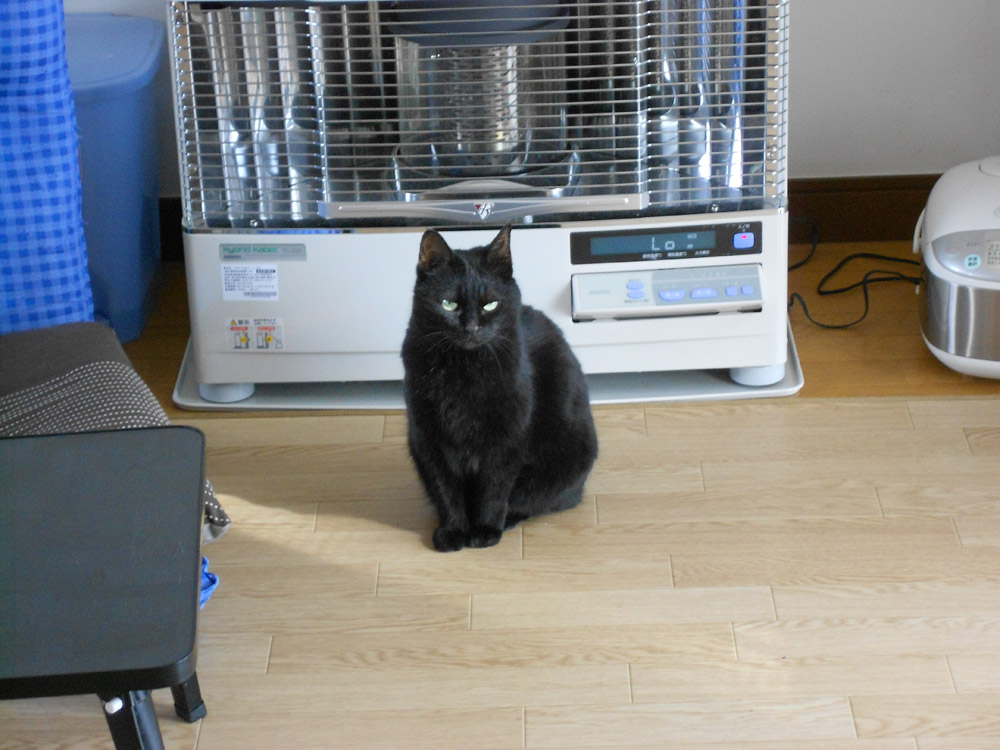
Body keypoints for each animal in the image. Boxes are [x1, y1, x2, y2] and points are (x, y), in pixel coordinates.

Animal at [402, 225, 599, 552]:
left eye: (490, 304)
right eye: (449, 305)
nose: (471, 328)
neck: (464, 372)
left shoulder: (507, 439)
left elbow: (494, 488)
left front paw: (484, 530)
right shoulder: (430, 439)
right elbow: (445, 489)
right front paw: (453, 531)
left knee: (535, 501)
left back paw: (505, 521)